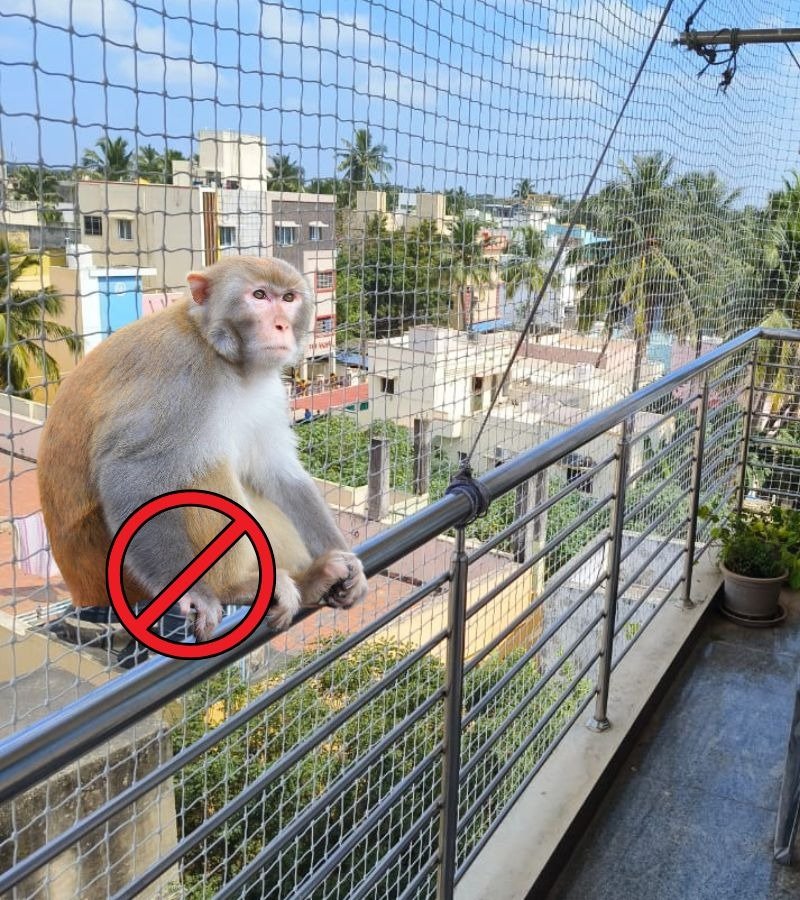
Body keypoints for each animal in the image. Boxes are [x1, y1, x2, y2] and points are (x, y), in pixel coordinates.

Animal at [37, 256, 368, 642]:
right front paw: (196, 593)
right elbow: (132, 472)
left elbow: (279, 473)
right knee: (201, 467)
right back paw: (236, 585)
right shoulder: (179, 373)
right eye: (259, 295)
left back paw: (312, 579)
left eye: (288, 298)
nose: (281, 325)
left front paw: (348, 561)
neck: (222, 354)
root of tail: (81, 591)